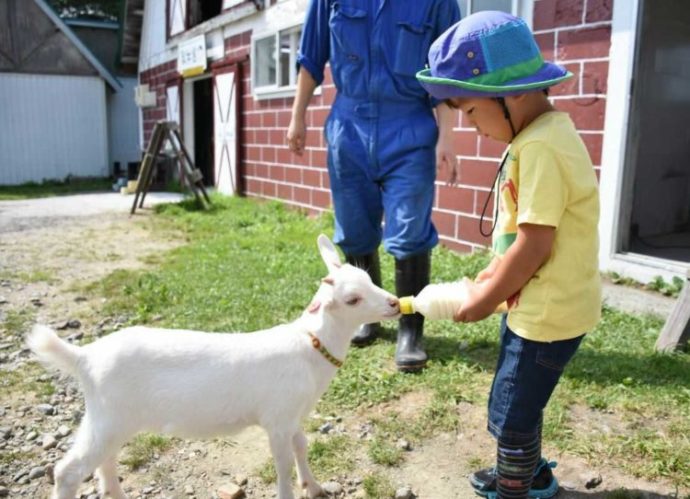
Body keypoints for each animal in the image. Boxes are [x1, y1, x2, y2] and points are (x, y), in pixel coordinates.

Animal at [26, 235, 400, 499]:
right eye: (352, 299)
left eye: (369, 277)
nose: (396, 303)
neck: (309, 346)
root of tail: (84, 356)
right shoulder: (277, 419)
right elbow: (281, 465)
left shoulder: (292, 415)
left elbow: (301, 446)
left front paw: (314, 486)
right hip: (110, 414)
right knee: (69, 471)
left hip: (109, 418)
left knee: (105, 459)